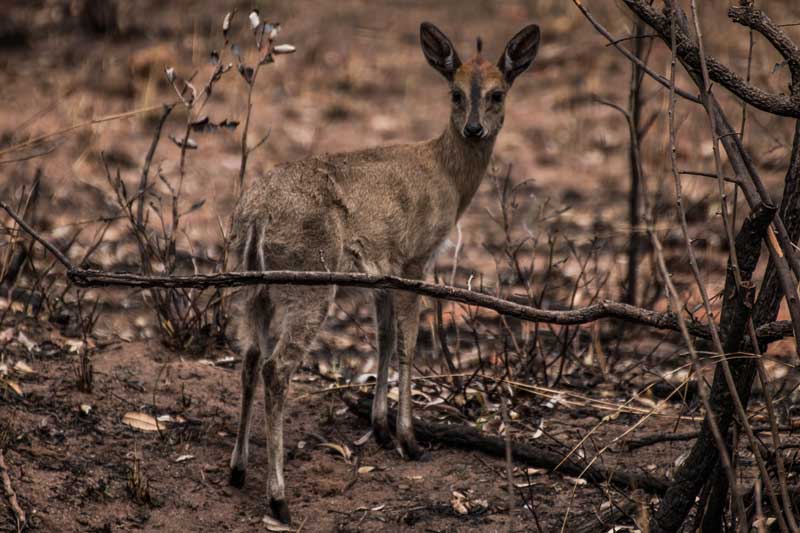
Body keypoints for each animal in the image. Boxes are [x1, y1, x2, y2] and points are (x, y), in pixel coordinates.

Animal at [230, 21, 544, 524]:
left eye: (498, 93)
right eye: (455, 93)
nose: (474, 128)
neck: (448, 177)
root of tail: (257, 214)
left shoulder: (382, 270)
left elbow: (383, 339)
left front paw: (379, 428)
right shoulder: (415, 258)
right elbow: (409, 343)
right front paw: (410, 441)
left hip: (252, 287)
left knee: (250, 358)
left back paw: (238, 470)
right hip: (309, 283)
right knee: (276, 368)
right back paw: (279, 499)